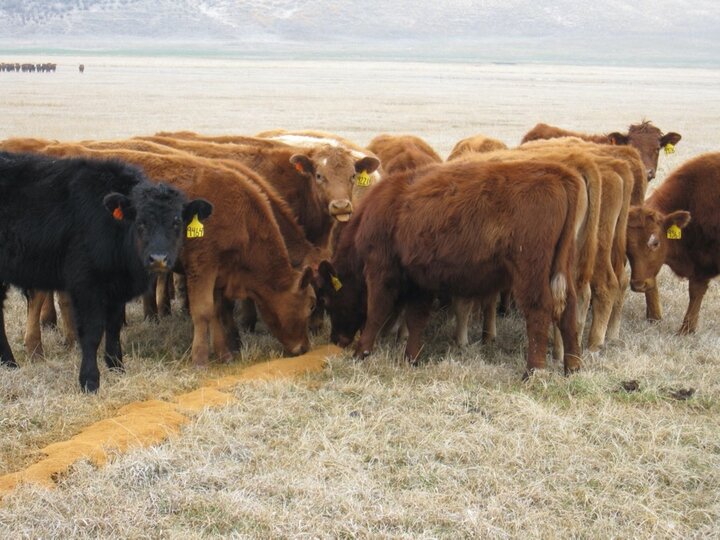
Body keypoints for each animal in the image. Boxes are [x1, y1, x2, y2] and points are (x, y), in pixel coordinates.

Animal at [0, 152, 212, 392]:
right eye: (140, 221)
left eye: (176, 222)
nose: (158, 258)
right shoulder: (86, 286)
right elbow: (92, 332)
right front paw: (90, 380)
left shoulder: (116, 289)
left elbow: (113, 327)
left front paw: (117, 367)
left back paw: (9, 363)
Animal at [624, 150, 720, 334]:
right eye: (626, 247)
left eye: (655, 243)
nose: (638, 285)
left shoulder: (704, 263)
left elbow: (696, 290)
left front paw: (686, 330)